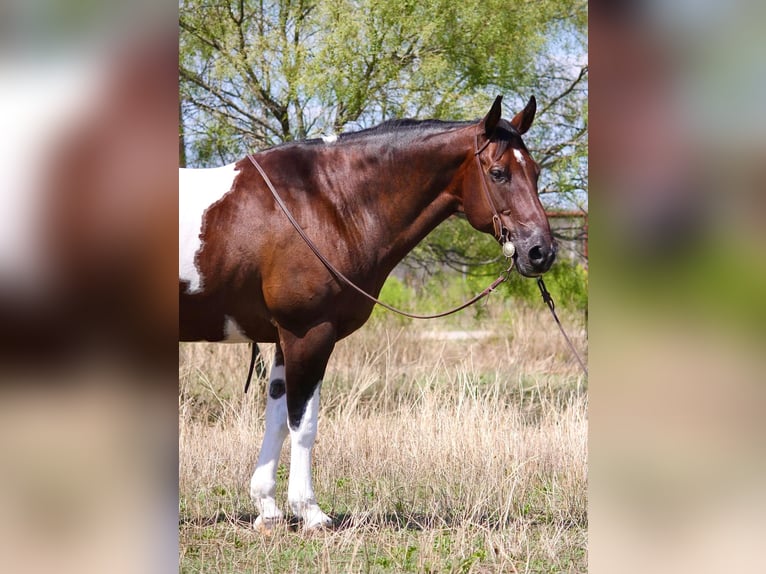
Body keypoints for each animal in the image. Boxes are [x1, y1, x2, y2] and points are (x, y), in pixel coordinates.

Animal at [178, 97, 560, 532]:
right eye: (498, 173)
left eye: (535, 172)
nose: (541, 252)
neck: (322, 203)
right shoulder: (308, 333)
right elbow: (303, 424)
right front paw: (310, 511)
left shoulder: (283, 339)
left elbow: (276, 418)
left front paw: (268, 509)